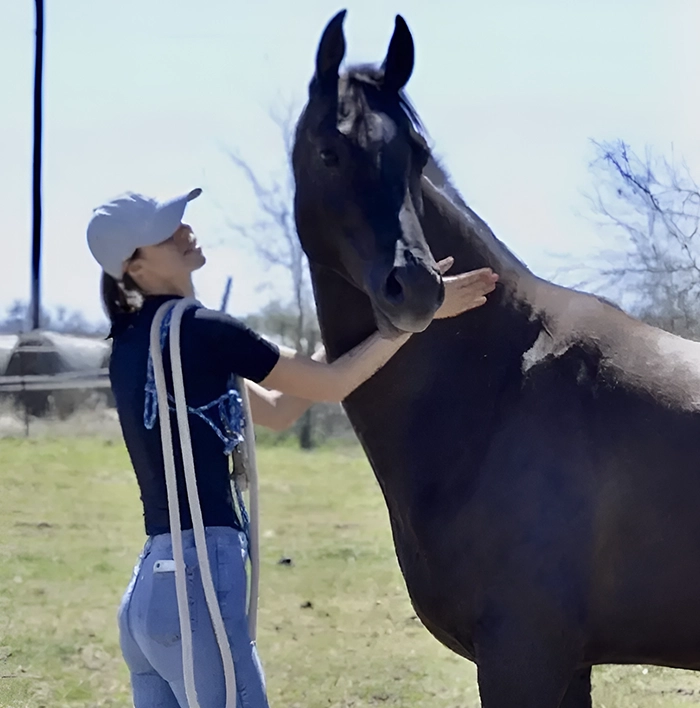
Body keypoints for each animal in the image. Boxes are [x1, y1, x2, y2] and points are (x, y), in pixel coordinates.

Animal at [292, 12, 700, 708]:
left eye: (416, 155)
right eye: (329, 151)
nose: (416, 287)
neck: (499, 387)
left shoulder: (524, 657)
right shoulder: (564, 666)